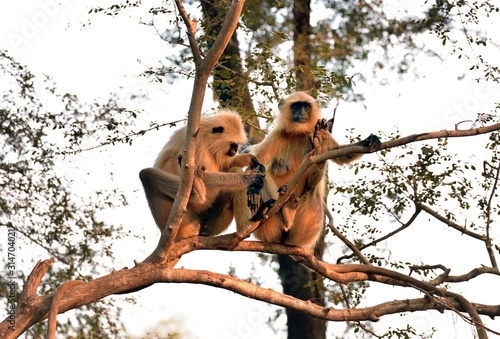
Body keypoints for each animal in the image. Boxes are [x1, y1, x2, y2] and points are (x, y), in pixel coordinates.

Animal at [140, 109, 266, 242]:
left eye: (236, 145)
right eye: (232, 145)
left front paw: (253, 161)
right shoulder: (196, 143)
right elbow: (203, 174)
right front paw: (250, 179)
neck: (206, 135)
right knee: (147, 174)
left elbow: (225, 165)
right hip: (187, 219)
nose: (235, 150)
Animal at [245, 92, 378, 250]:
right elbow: (256, 163)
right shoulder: (277, 134)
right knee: (263, 173)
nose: (301, 112)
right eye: (296, 106)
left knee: (313, 187)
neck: (298, 133)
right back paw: (271, 211)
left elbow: (341, 155)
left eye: (306, 106)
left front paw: (369, 140)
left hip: (308, 227)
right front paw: (253, 189)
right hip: (268, 228)